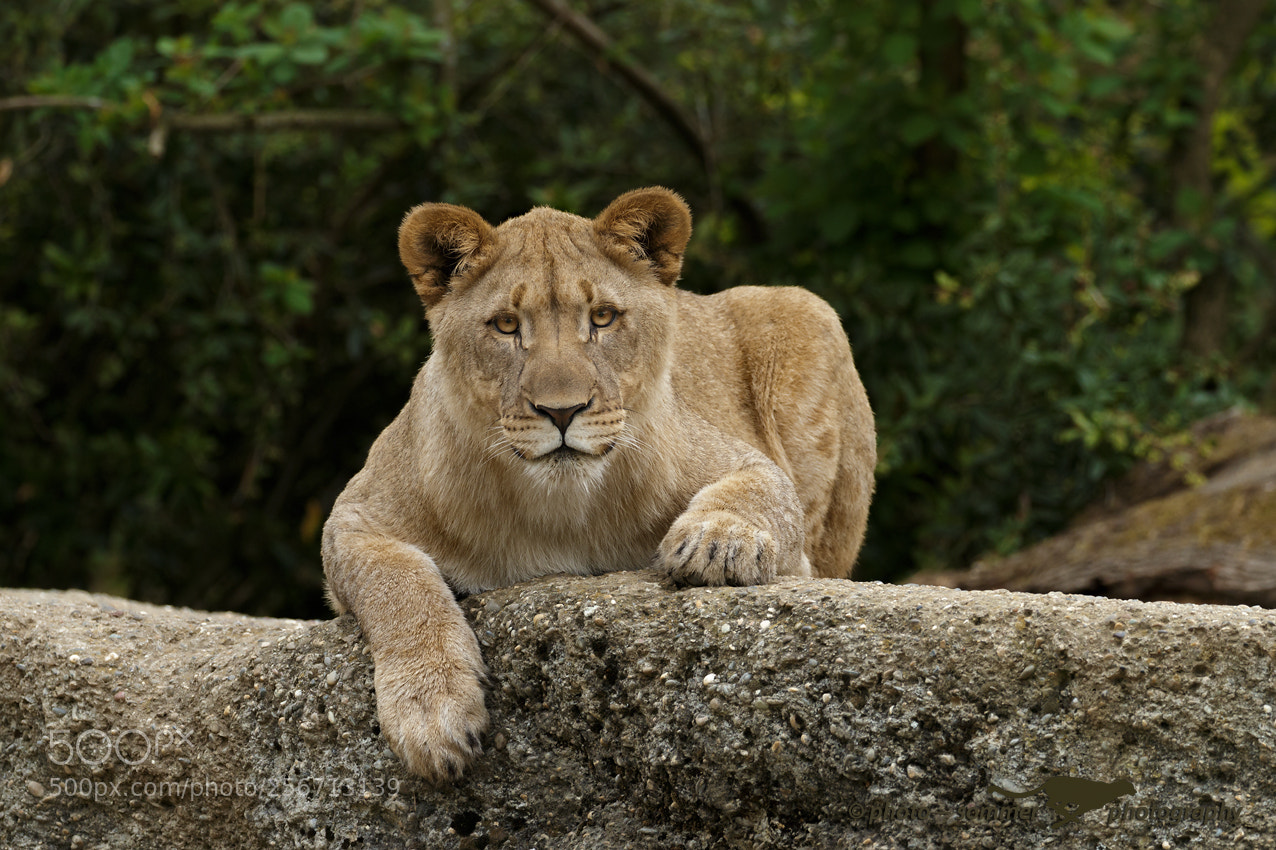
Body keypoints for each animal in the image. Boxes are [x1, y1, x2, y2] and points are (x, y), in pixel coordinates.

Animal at [322, 187, 875, 781]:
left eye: (603, 318)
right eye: (506, 326)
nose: (562, 411)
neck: (561, 509)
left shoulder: (745, 465)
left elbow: (760, 492)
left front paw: (717, 543)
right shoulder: (354, 519)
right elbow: (396, 579)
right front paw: (431, 711)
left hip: (805, 311)